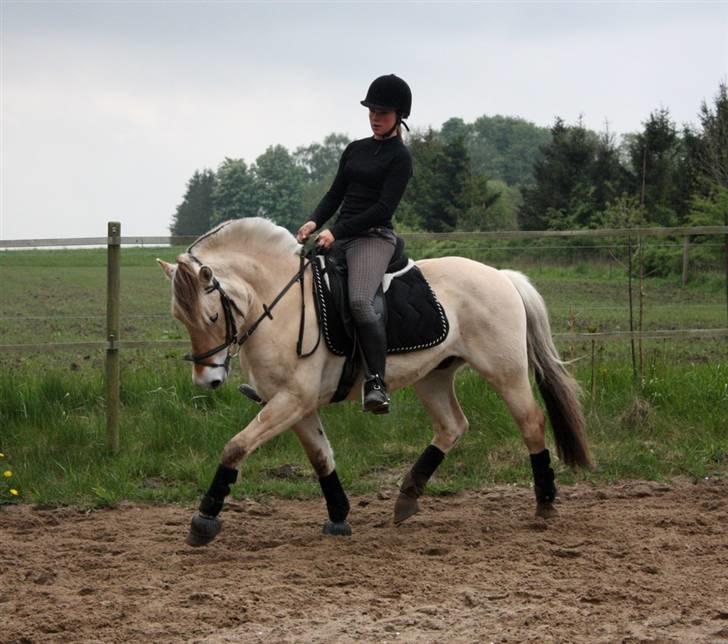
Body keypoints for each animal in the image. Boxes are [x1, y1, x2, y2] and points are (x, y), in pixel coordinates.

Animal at [158, 219, 592, 544]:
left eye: (212, 317)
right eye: (178, 317)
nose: (208, 379)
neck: (279, 304)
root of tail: (501, 277)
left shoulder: (292, 400)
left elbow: (235, 447)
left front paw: (204, 520)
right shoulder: (295, 404)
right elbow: (321, 457)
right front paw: (338, 517)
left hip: (505, 371)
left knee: (531, 422)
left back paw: (545, 502)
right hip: (433, 376)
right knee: (452, 426)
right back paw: (406, 498)